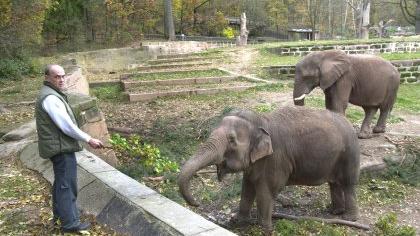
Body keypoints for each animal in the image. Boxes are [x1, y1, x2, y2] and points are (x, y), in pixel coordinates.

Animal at [179, 106, 360, 234]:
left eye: (232, 140)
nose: (197, 203)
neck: (260, 120)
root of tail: (349, 122)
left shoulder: (276, 159)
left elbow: (266, 191)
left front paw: (264, 229)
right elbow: (247, 188)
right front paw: (237, 221)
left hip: (350, 154)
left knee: (348, 184)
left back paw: (349, 218)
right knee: (334, 183)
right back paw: (335, 212)